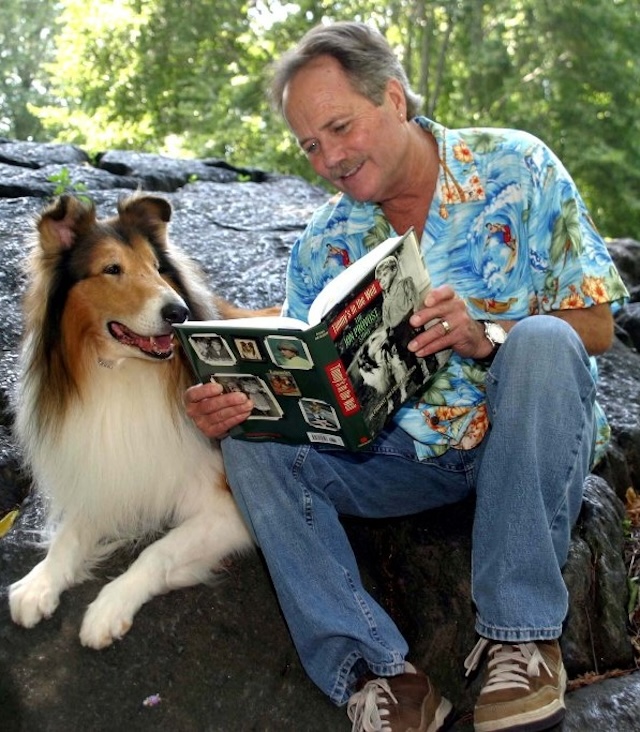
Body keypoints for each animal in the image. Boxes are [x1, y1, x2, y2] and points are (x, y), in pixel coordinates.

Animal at [8, 193, 276, 648]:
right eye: (112, 269)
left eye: (155, 267)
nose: (179, 312)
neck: (124, 374)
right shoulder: (110, 472)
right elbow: (70, 534)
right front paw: (40, 581)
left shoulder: (229, 508)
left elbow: (159, 549)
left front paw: (110, 605)